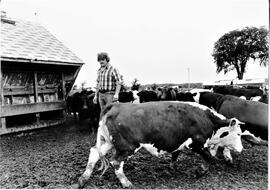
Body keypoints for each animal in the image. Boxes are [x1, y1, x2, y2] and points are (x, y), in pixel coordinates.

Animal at [78, 101, 245, 188]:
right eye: (238, 134)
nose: (241, 149)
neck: (206, 119)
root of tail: (116, 105)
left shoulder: (178, 144)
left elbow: (175, 157)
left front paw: (171, 169)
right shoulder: (196, 144)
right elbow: (208, 159)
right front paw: (200, 171)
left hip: (108, 142)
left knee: (94, 153)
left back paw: (83, 179)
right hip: (127, 147)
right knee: (116, 162)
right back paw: (126, 183)